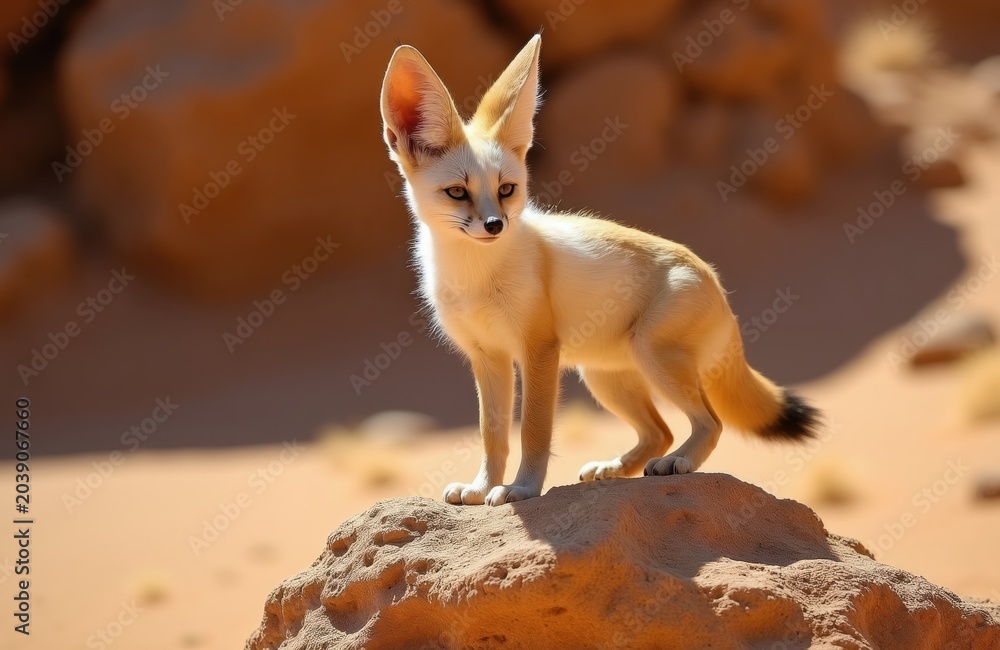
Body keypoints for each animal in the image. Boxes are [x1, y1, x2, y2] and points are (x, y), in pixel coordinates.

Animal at [379, 35, 820, 506]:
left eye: (506, 190)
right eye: (458, 193)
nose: (496, 225)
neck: (474, 276)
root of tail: (716, 282)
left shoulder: (538, 350)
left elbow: (533, 430)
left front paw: (522, 488)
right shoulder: (487, 357)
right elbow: (492, 434)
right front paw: (482, 487)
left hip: (651, 358)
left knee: (710, 422)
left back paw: (676, 463)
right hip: (605, 379)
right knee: (660, 431)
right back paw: (616, 468)